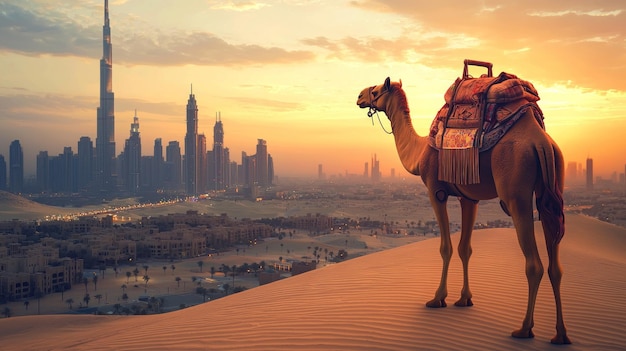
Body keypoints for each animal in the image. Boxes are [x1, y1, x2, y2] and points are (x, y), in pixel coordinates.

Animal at [354, 77, 568, 346]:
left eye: (375, 91)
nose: (359, 97)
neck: (420, 150)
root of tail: (541, 141)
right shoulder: (469, 198)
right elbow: (465, 248)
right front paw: (465, 299)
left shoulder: (435, 190)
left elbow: (445, 247)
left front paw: (438, 298)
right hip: (552, 189)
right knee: (555, 264)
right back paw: (560, 335)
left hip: (516, 194)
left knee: (534, 264)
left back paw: (524, 329)